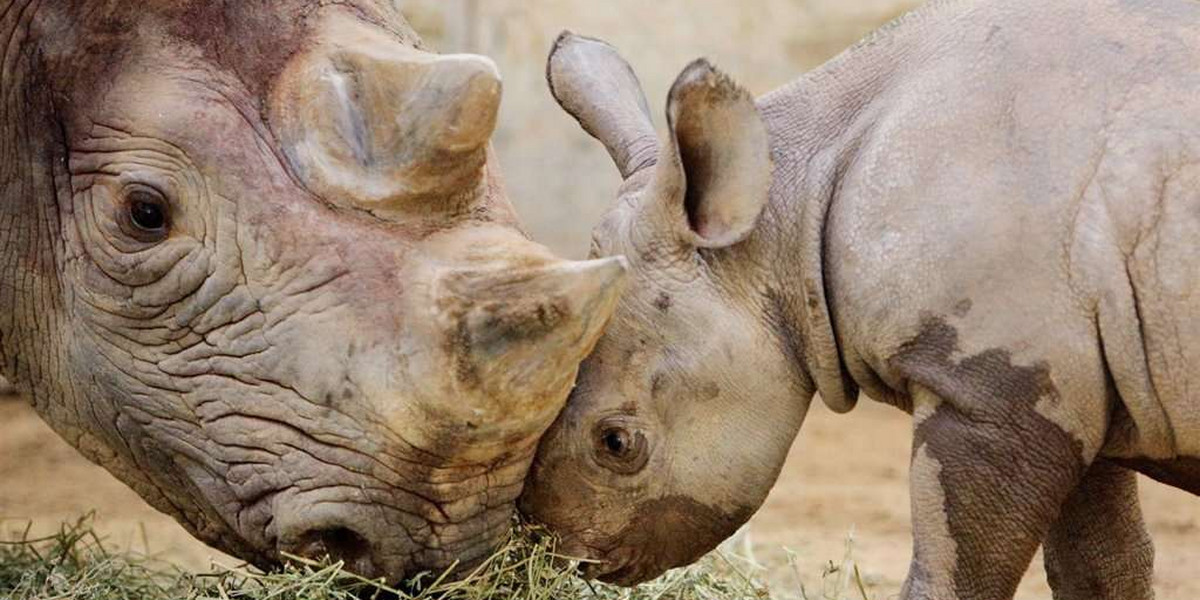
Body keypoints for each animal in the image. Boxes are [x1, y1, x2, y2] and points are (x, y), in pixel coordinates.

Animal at [520, 0, 1200, 597]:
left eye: (616, 444)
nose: (567, 559)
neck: (785, 209)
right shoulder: (1067, 377)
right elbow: (1103, 565)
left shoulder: (990, 393)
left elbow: (954, 576)